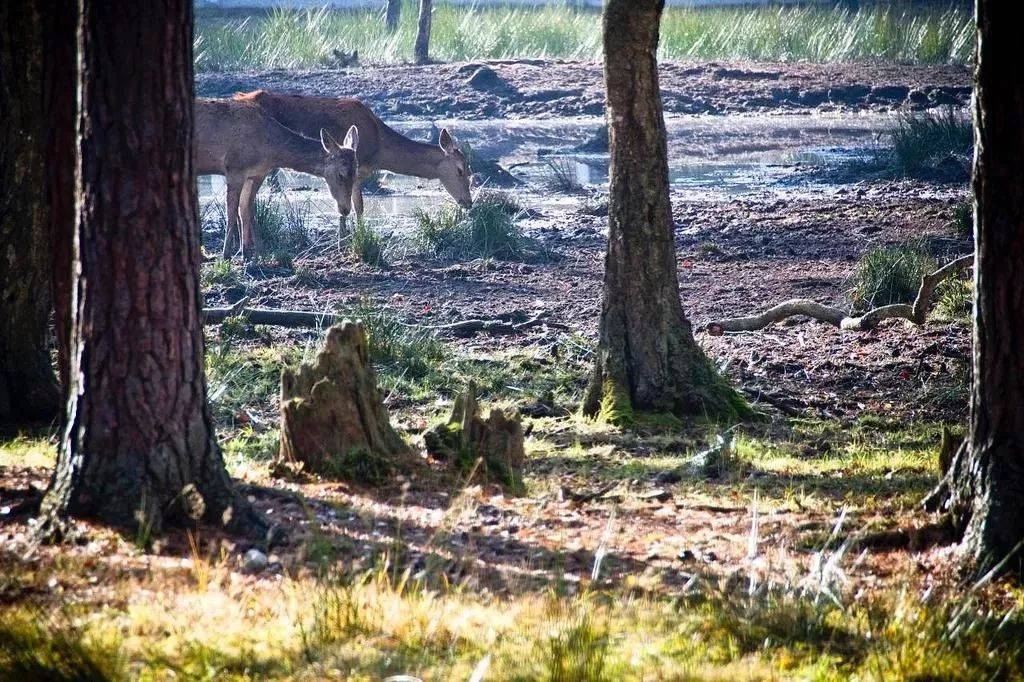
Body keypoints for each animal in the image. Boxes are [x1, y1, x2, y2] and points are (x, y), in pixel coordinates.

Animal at [194, 96, 360, 261]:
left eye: (356, 173)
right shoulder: (234, 168)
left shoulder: (257, 174)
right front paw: (227, 254)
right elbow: (232, 212)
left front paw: (253, 252)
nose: (345, 209)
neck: (269, 150)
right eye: (341, 174)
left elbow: (247, 209)